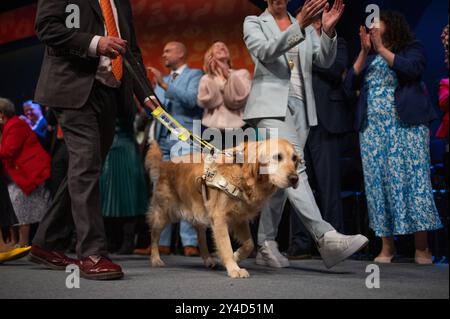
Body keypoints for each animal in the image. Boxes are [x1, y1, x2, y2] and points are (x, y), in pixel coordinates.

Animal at [147, 139, 302, 278]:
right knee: (154, 236)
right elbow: (226, 246)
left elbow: (249, 244)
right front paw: (234, 269)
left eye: (294, 159)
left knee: (201, 238)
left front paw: (237, 256)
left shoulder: (239, 219)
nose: (294, 178)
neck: (241, 173)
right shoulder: (219, 218)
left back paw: (208, 259)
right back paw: (155, 259)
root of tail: (165, 164)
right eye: (277, 157)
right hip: (163, 214)